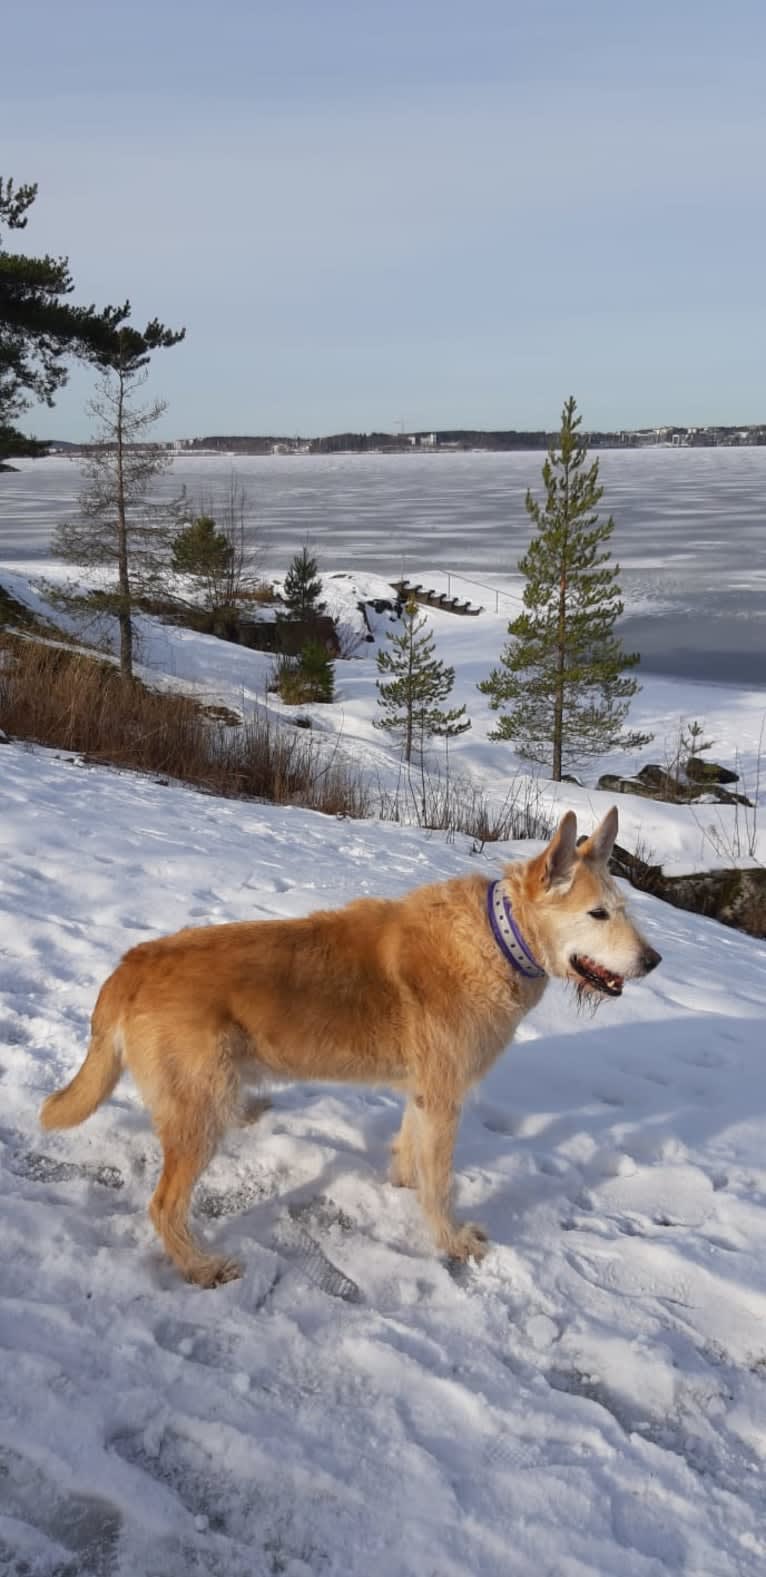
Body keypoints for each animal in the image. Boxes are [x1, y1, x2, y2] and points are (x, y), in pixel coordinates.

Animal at [40, 807, 658, 1286]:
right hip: (198, 1113)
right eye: (597, 914)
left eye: (626, 910)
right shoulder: (445, 1098)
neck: (497, 939)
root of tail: (132, 963)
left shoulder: (425, 1093)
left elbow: (411, 1153)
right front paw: (451, 1241)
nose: (653, 961)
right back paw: (199, 1267)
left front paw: (402, 1183)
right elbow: (440, 1186)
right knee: (164, 1206)